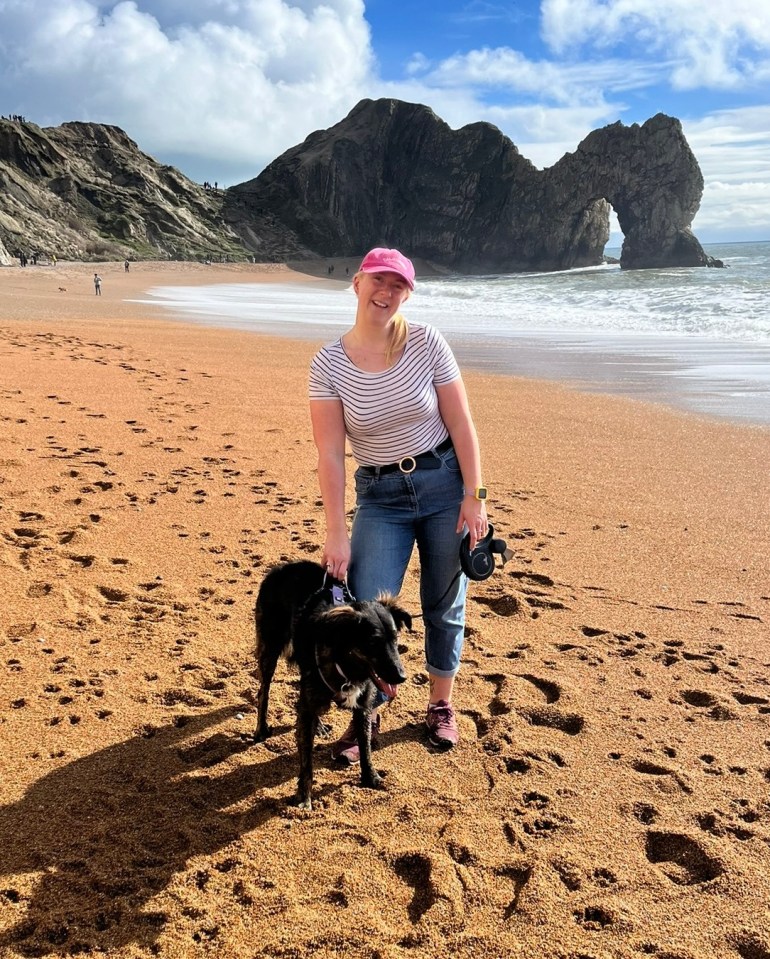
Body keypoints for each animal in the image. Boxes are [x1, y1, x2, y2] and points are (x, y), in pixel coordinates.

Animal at [255, 560, 412, 812]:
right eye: (373, 643)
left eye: (395, 639)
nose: (401, 677)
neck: (345, 663)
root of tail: (282, 567)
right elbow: (306, 760)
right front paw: (304, 797)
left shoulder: (363, 707)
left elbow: (365, 747)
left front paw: (371, 778)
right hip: (270, 648)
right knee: (264, 692)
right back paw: (260, 729)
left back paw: (318, 726)